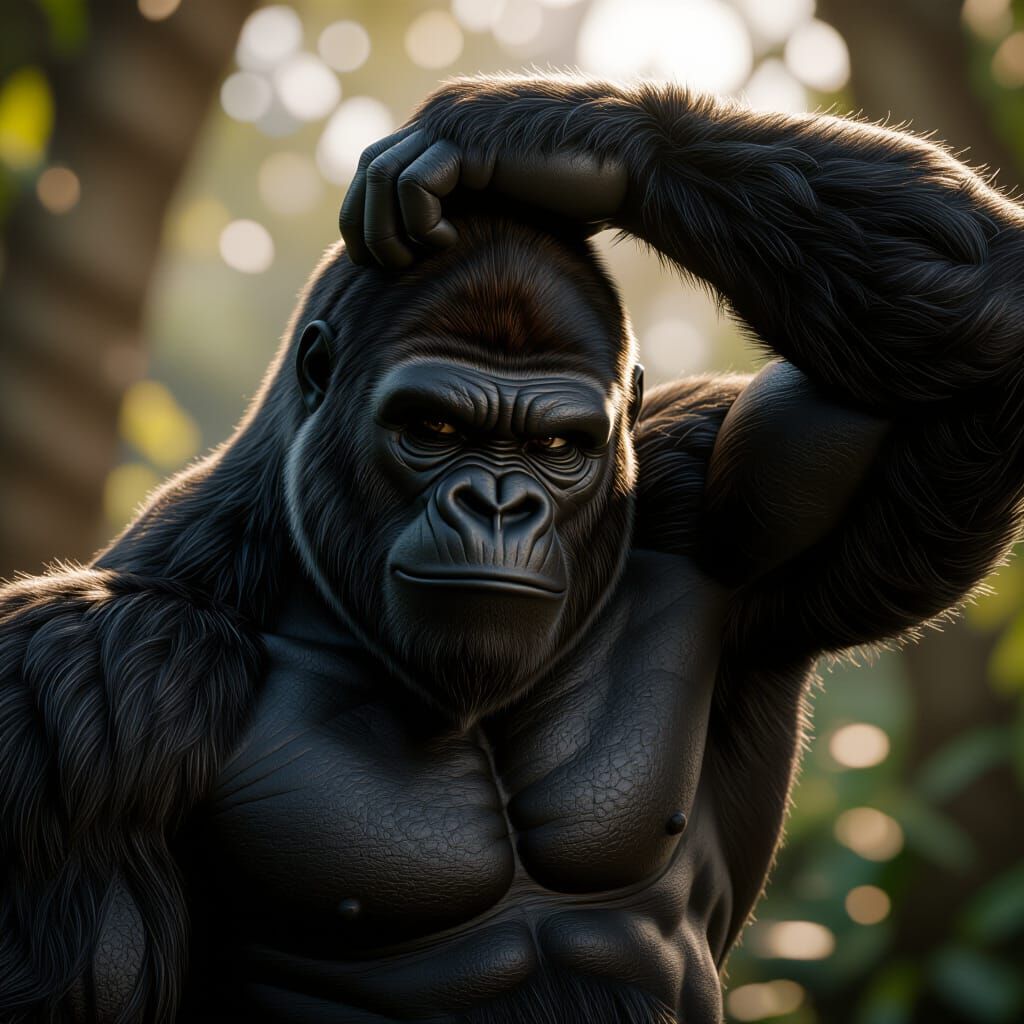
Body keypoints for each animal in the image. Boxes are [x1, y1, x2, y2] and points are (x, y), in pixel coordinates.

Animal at [1, 74, 1023, 1023]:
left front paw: (538, 137)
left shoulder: (723, 484)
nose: (498, 503)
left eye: (558, 448)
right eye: (434, 429)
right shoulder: (101, 669)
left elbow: (990, 311)